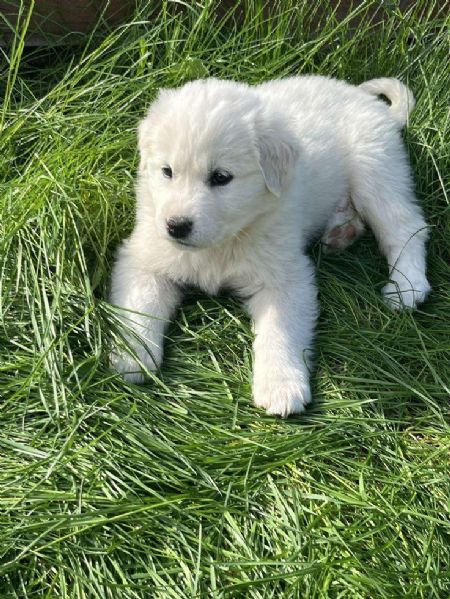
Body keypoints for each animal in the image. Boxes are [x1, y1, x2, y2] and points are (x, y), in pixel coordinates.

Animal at [109, 75, 430, 416]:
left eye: (221, 177)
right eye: (167, 171)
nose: (176, 226)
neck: (226, 241)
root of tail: (364, 100)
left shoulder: (286, 277)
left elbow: (280, 330)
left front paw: (281, 387)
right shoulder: (144, 258)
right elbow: (139, 307)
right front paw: (132, 357)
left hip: (375, 168)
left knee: (405, 226)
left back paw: (406, 287)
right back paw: (341, 231)